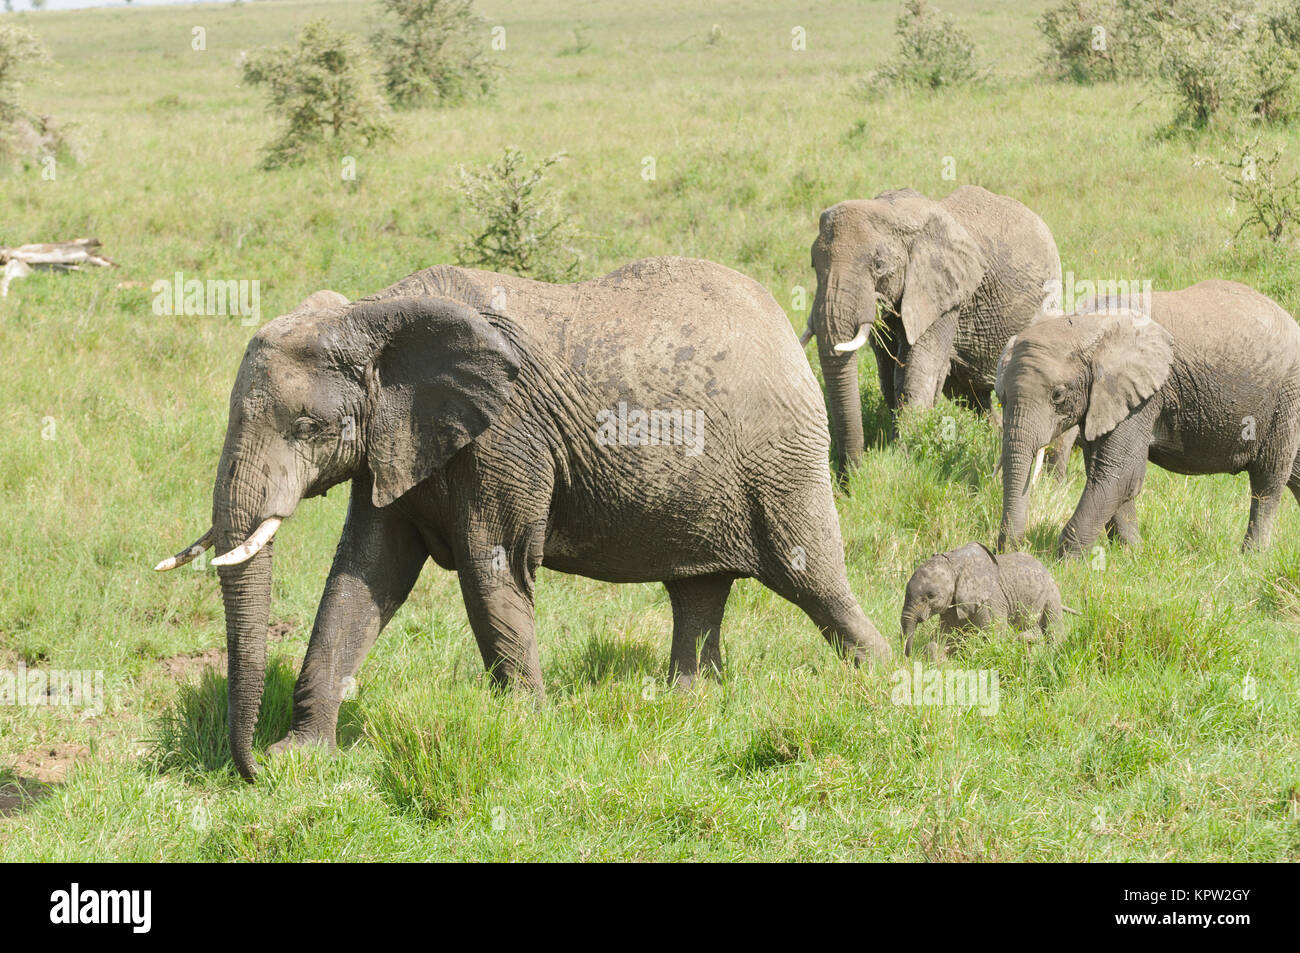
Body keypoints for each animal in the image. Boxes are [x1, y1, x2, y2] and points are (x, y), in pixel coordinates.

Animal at [157, 256, 894, 774]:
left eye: (309, 426)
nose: (246, 768)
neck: (376, 315)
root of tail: (784, 326)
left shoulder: (505, 432)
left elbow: (493, 564)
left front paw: (525, 727)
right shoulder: (397, 441)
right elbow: (364, 575)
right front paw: (299, 759)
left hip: (783, 459)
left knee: (814, 580)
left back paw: (886, 682)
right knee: (698, 588)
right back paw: (690, 702)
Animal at [800, 184, 1066, 483]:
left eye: (879, 265)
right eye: (814, 264)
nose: (849, 480)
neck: (894, 212)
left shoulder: (945, 296)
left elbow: (918, 374)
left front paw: (903, 462)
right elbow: (889, 378)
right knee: (972, 396)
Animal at [899, 538, 1071, 657]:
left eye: (931, 596)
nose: (908, 656)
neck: (955, 565)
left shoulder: (991, 601)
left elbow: (993, 635)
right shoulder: (951, 603)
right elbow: (947, 633)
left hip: (1052, 594)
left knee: (1054, 626)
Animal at [998, 278, 1300, 553]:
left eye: (1057, 395)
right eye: (1002, 397)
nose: (1013, 548)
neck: (1086, 325)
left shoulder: (1143, 397)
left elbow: (1119, 473)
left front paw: (1065, 563)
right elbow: (1109, 472)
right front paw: (1132, 554)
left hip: (1285, 397)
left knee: (1268, 479)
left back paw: (1251, 557)